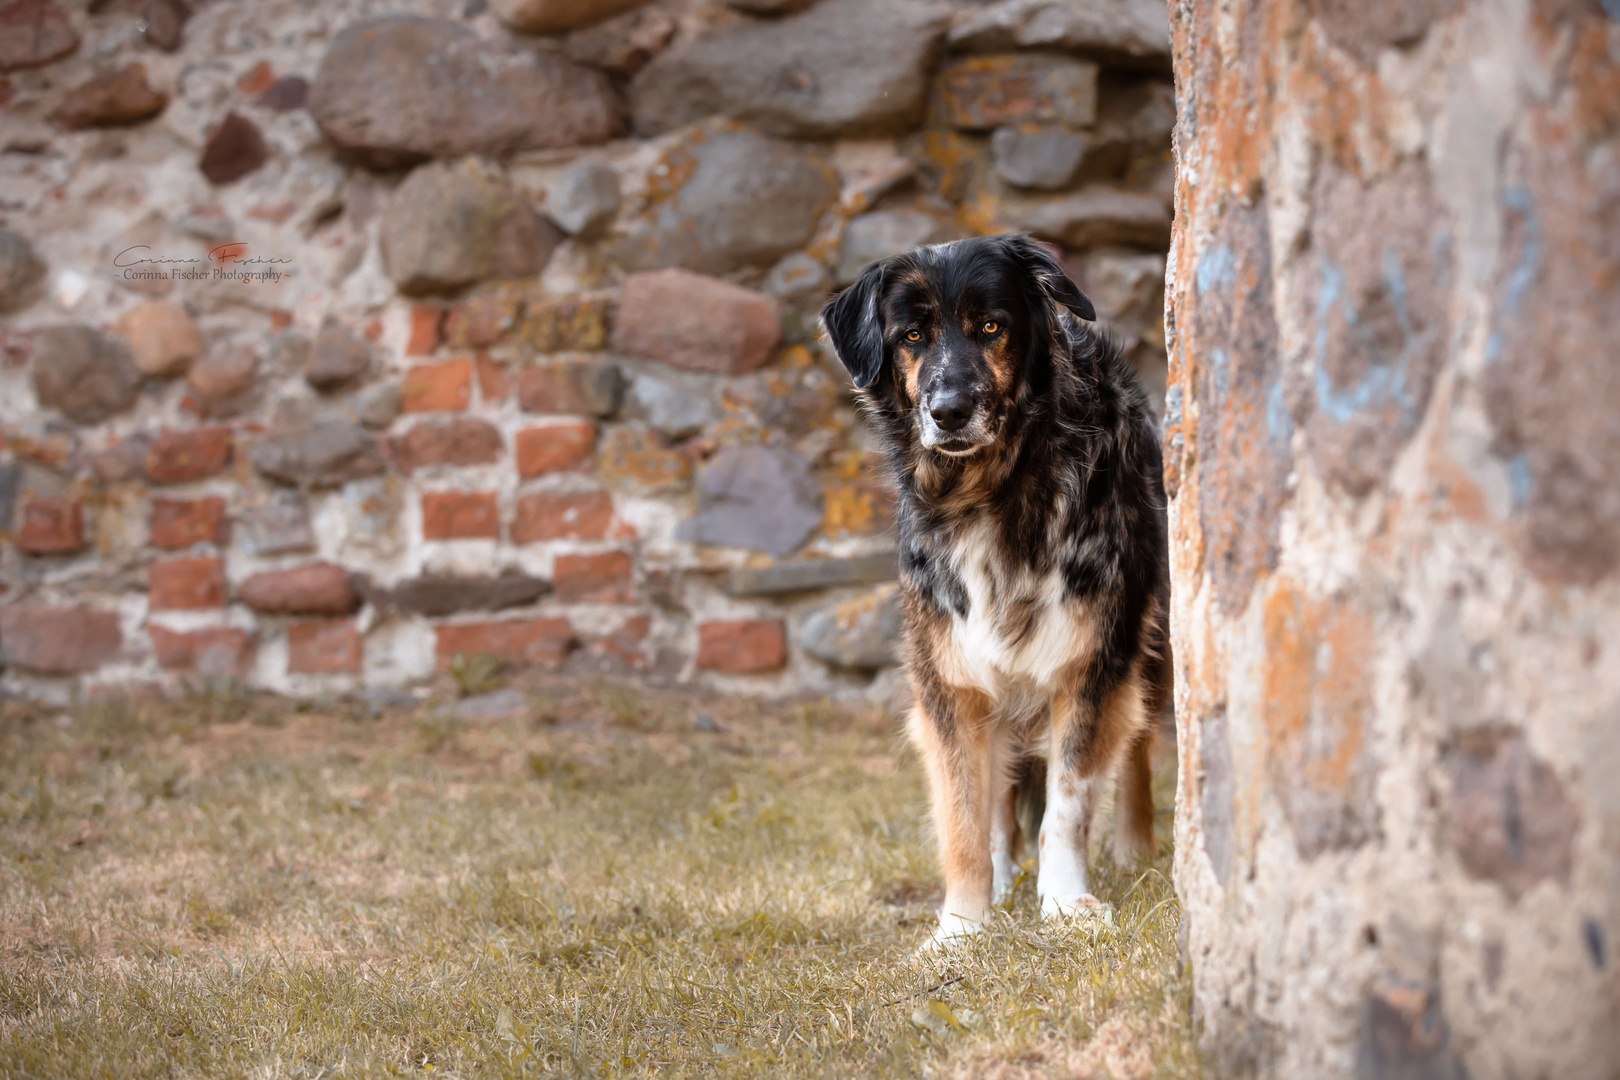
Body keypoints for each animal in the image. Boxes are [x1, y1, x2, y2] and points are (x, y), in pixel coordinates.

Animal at [822, 234, 1166, 945]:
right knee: (1002, 798)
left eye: (991, 327)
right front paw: (960, 928)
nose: (948, 411)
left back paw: (1135, 850)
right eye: (912, 336)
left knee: (1139, 745)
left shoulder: (1092, 662)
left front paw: (1065, 903)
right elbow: (964, 819)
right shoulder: (951, 680)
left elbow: (1068, 802)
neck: (993, 490)